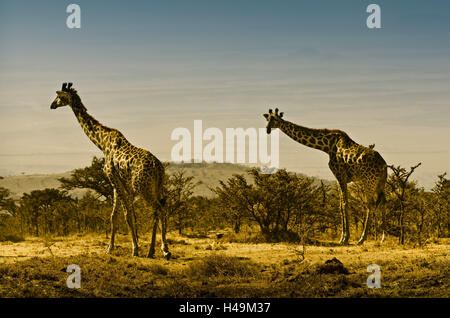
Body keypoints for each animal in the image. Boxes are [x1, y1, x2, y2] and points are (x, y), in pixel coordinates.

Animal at [50, 82, 171, 258]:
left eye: (59, 97)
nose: (52, 105)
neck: (101, 143)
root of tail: (158, 167)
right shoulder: (118, 184)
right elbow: (115, 216)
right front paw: (110, 248)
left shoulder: (113, 179)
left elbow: (127, 215)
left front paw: (135, 248)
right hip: (156, 187)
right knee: (160, 209)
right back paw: (153, 250)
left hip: (144, 188)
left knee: (159, 209)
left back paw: (163, 250)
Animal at [264, 108, 386, 245]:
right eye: (268, 118)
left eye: (275, 119)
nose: (267, 129)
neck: (327, 146)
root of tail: (384, 165)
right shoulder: (339, 177)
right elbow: (340, 204)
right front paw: (343, 237)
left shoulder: (340, 175)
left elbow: (344, 203)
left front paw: (345, 238)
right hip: (380, 183)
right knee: (383, 202)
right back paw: (382, 238)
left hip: (368, 181)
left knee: (369, 204)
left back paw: (362, 239)